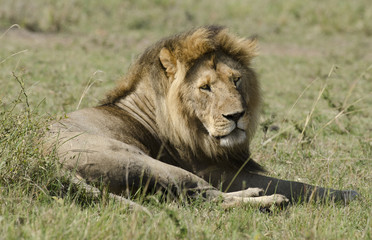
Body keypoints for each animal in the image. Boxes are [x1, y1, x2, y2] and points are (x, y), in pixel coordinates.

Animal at [44, 24, 358, 208]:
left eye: (236, 80)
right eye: (205, 87)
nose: (236, 115)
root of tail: (49, 166)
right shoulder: (210, 169)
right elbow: (292, 183)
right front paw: (347, 194)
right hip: (143, 161)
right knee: (207, 199)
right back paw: (267, 199)